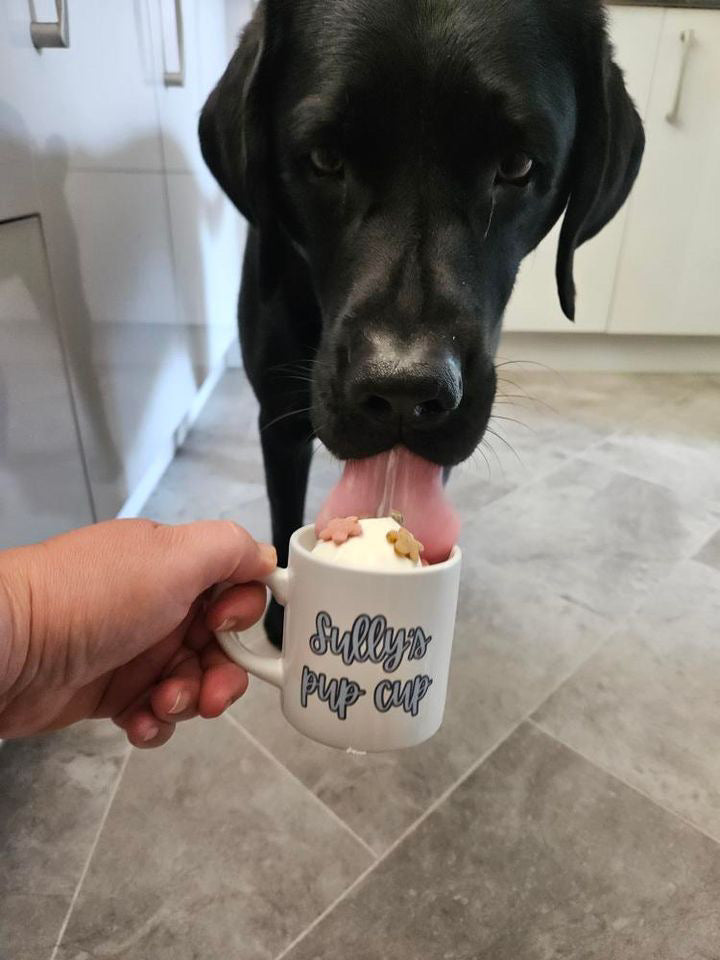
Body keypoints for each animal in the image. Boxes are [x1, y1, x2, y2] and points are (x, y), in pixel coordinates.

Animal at [200, 1, 644, 644]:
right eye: (325, 159)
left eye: (517, 165)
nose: (404, 392)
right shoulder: (277, 418)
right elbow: (284, 517)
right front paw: (282, 617)